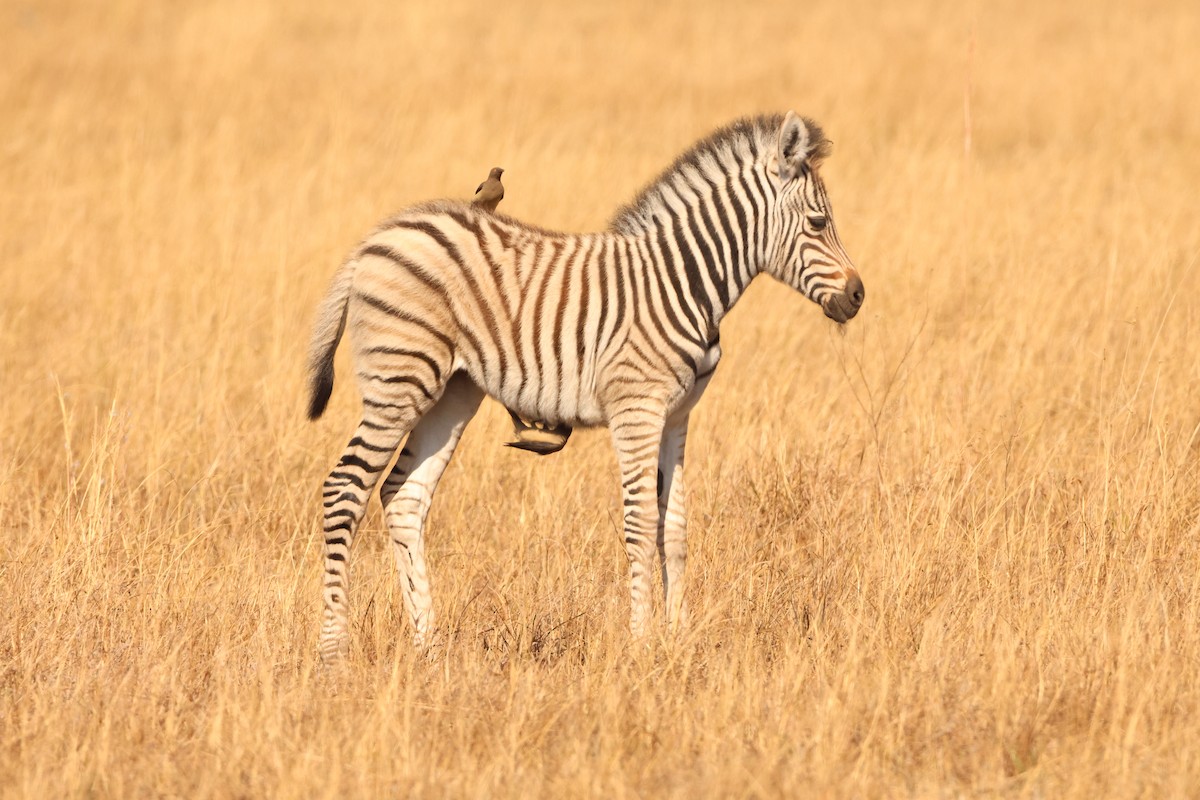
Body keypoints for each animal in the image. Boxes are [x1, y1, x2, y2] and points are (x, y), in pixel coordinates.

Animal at [304, 112, 859, 662]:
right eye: (817, 223)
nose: (858, 295)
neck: (682, 283)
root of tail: (378, 238)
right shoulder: (637, 409)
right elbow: (641, 524)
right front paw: (642, 644)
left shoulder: (677, 415)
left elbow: (676, 527)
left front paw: (679, 640)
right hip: (400, 377)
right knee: (345, 488)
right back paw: (334, 651)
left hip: (452, 391)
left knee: (404, 497)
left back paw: (429, 647)